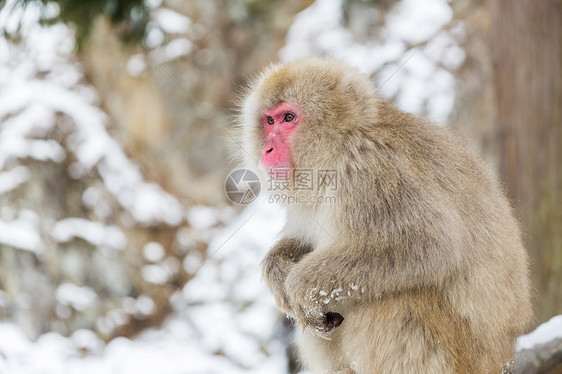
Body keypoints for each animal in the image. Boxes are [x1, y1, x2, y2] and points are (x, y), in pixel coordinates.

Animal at [235, 57, 528, 372]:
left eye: (289, 117)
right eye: (269, 121)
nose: (267, 149)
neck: (341, 146)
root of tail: (503, 357)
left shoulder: (373, 169)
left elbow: (431, 243)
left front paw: (299, 287)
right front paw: (277, 268)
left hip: (466, 356)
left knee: (397, 299)